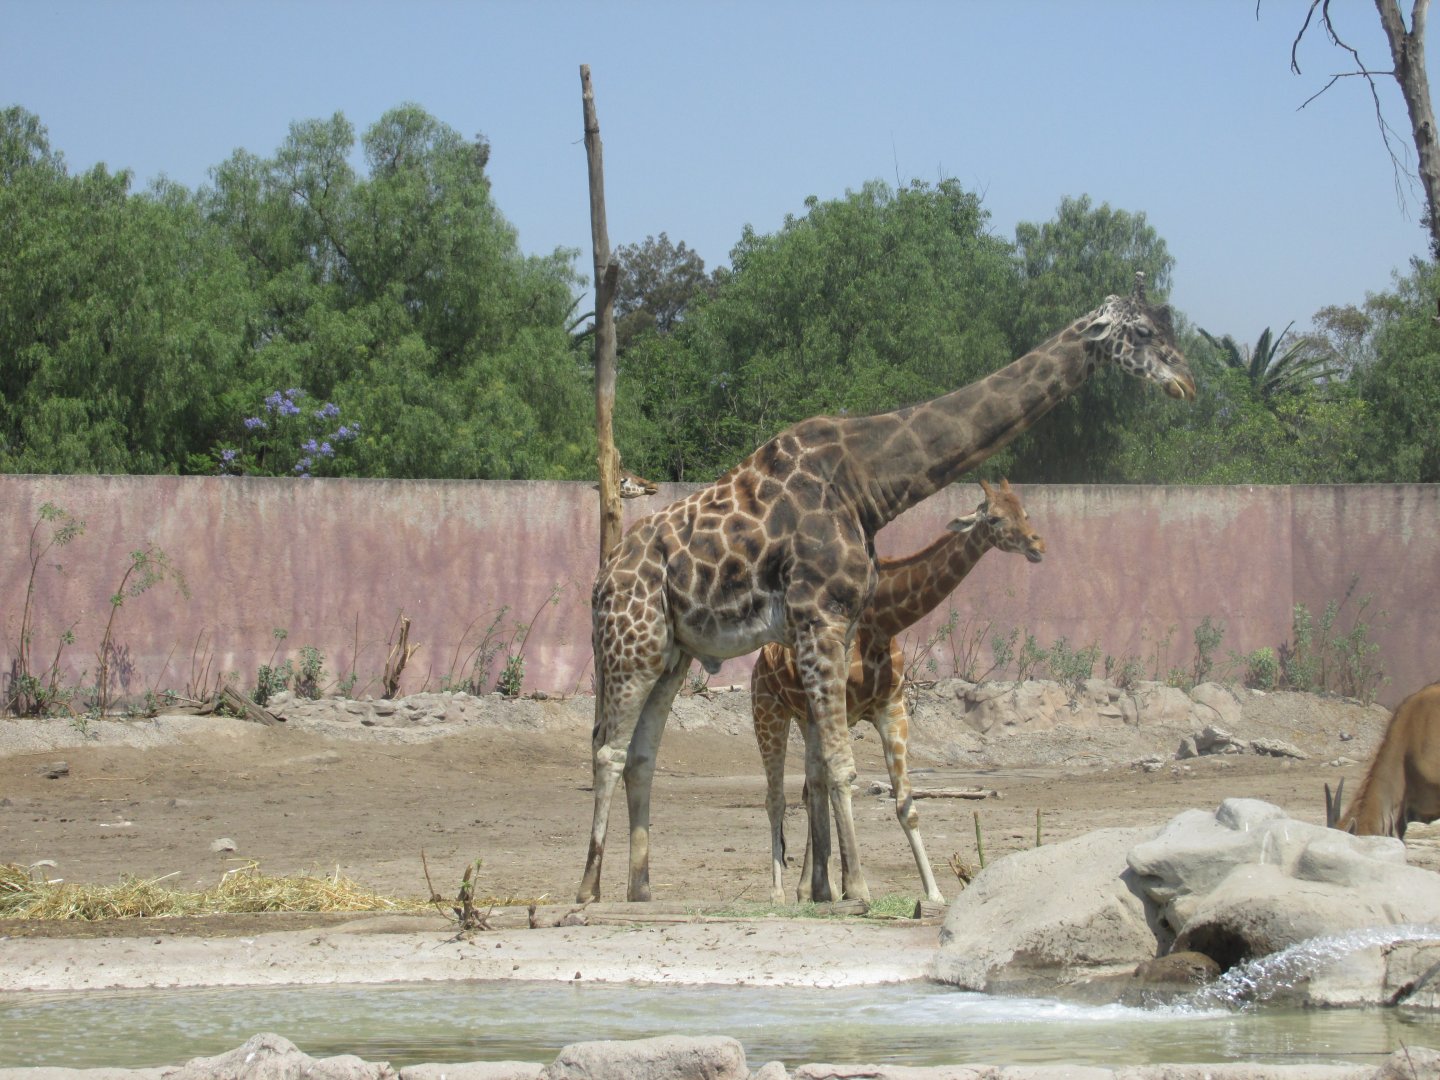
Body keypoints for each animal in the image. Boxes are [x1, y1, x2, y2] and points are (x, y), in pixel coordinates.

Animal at [752, 478, 1043, 904]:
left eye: (1024, 511)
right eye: (993, 518)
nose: (1038, 544)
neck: (883, 621)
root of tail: (761, 659)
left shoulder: (891, 706)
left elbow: (905, 802)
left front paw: (933, 893)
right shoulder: (844, 705)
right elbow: (842, 781)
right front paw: (856, 887)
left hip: (807, 717)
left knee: (811, 787)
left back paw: (813, 888)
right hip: (767, 710)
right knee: (777, 797)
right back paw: (779, 892)